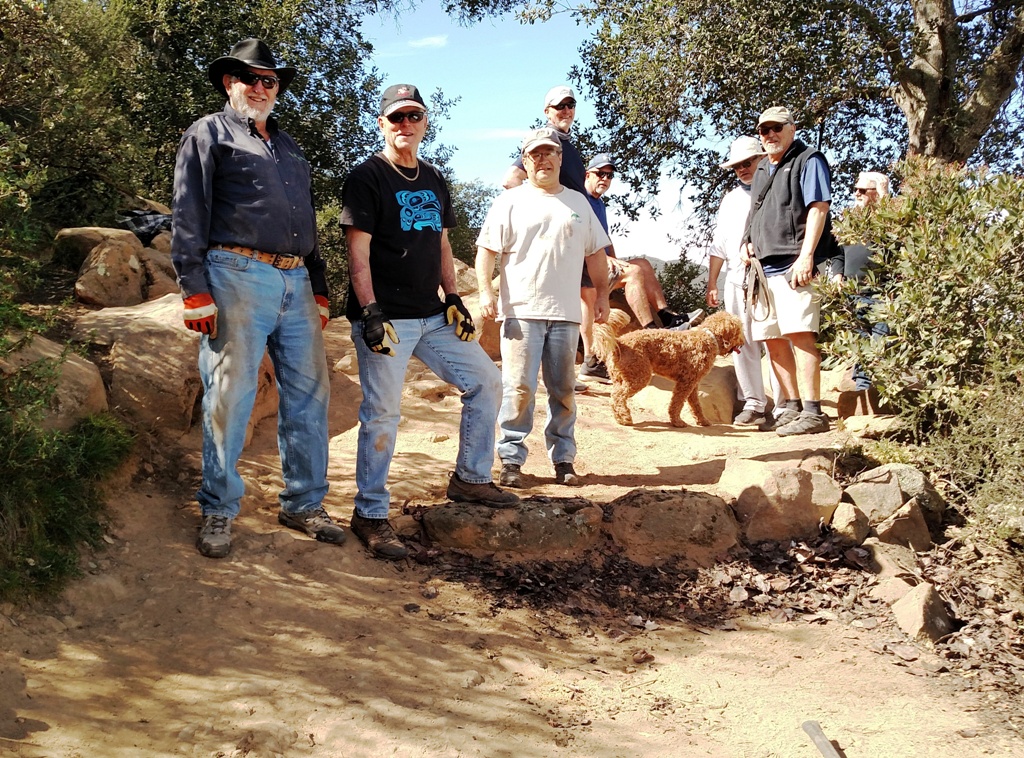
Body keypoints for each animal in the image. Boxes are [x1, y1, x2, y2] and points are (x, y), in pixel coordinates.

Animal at [593, 309, 745, 426]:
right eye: (740, 330)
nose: (743, 342)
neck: (708, 337)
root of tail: (619, 343)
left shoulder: (693, 384)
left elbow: (696, 405)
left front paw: (702, 421)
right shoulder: (685, 383)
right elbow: (676, 404)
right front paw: (677, 422)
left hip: (620, 378)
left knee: (614, 397)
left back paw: (620, 418)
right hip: (639, 377)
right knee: (617, 397)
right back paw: (625, 418)